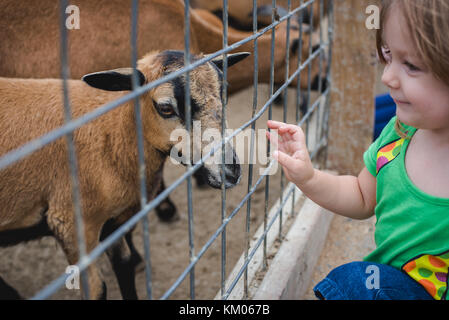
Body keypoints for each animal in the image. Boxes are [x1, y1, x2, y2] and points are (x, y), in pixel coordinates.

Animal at [0, 50, 248, 300]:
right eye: (165, 108)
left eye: (223, 93)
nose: (230, 171)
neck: (113, 132)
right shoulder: (70, 222)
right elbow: (97, 289)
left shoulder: (113, 222)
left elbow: (124, 264)